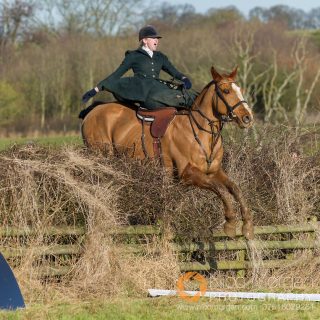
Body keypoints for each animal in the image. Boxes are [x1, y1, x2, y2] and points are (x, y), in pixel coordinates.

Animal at [81, 66, 254, 239]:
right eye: (226, 91)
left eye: (240, 90)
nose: (247, 118)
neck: (201, 131)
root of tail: (93, 111)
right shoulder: (188, 174)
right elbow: (221, 190)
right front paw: (230, 222)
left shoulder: (213, 171)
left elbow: (235, 188)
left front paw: (247, 224)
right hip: (103, 157)